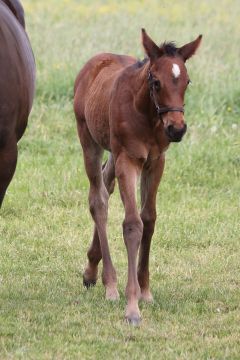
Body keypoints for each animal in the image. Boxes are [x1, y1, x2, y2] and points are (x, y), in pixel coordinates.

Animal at [74, 29, 202, 324]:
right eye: (156, 82)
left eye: (187, 81)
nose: (177, 129)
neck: (147, 115)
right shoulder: (129, 160)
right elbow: (133, 224)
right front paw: (132, 307)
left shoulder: (156, 162)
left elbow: (149, 219)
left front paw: (145, 291)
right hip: (90, 140)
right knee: (98, 200)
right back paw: (109, 284)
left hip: (113, 150)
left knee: (106, 184)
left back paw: (91, 269)